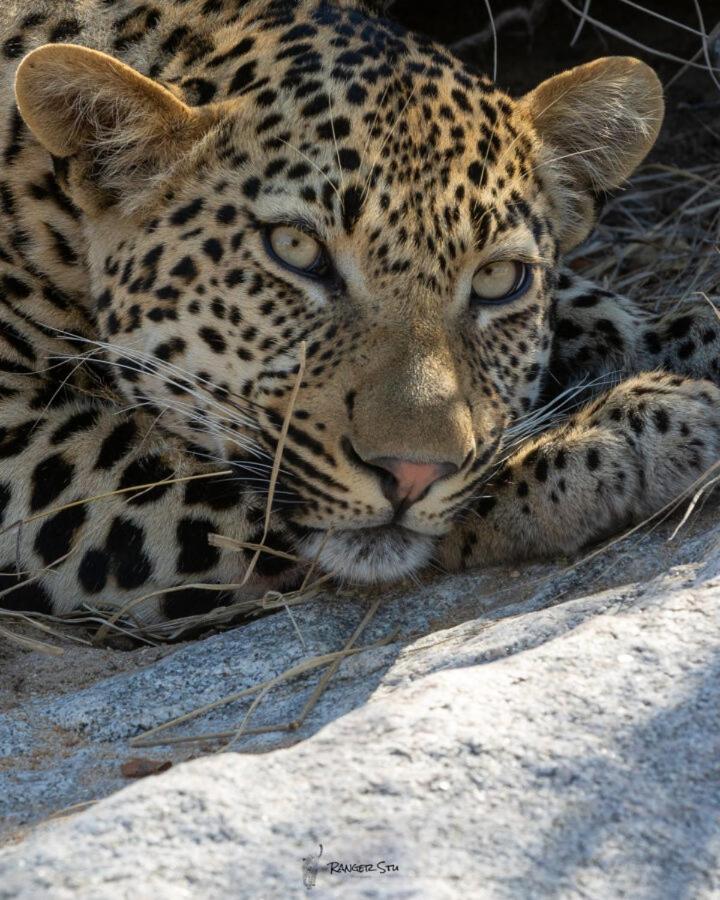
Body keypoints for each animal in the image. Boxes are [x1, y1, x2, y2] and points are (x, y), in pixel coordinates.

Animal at [0, 0, 718, 625]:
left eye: (497, 279)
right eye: (296, 251)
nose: (411, 474)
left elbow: (592, 308)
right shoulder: (30, 448)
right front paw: (622, 435)